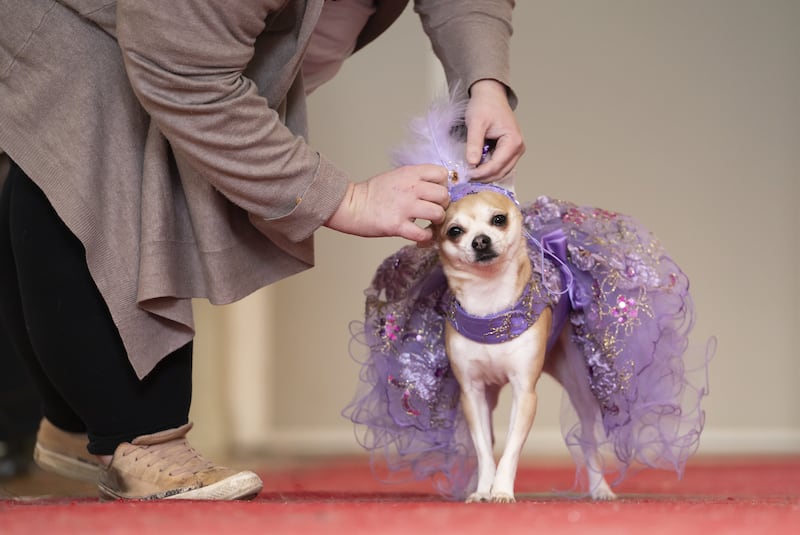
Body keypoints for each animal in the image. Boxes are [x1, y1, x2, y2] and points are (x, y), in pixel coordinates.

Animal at [434, 186, 616, 504]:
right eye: (454, 231)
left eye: (498, 219)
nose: (480, 240)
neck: (490, 302)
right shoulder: (473, 394)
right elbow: (484, 450)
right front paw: (483, 489)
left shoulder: (524, 393)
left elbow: (510, 450)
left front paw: (502, 490)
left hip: (580, 387)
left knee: (588, 440)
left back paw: (600, 488)